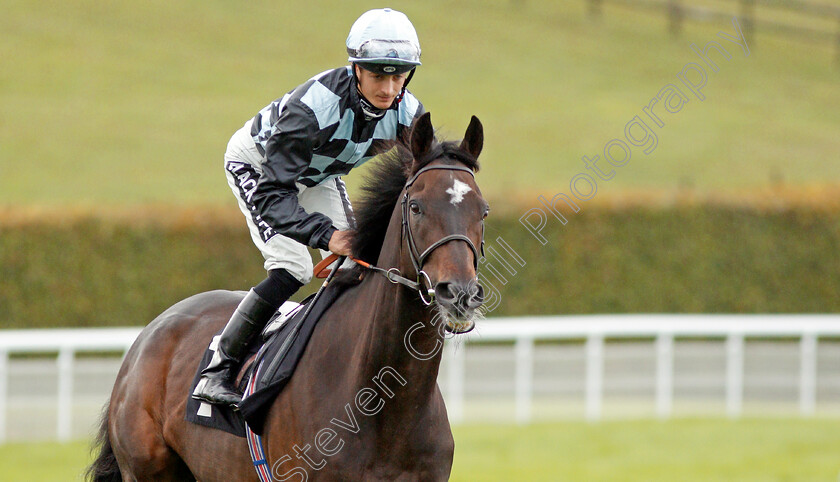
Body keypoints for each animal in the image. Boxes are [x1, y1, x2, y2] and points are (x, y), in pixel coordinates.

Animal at [87, 111, 486, 480]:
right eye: (416, 207)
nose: (459, 293)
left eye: (483, 210)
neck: (387, 405)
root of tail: (147, 336)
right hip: (146, 469)